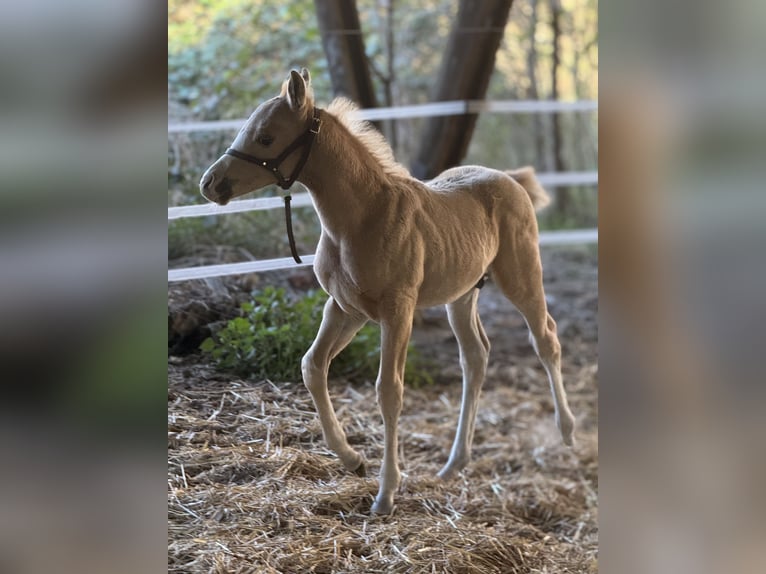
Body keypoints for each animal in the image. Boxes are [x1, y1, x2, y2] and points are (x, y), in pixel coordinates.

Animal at [200, 68, 575, 515]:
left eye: (266, 137)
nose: (210, 183)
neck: (360, 220)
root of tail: (511, 179)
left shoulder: (397, 311)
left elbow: (389, 390)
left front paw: (386, 492)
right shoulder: (345, 308)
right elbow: (312, 366)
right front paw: (352, 459)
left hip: (521, 274)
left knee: (546, 337)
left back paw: (567, 432)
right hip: (461, 294)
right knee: (476, 356)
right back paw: (454, 463)